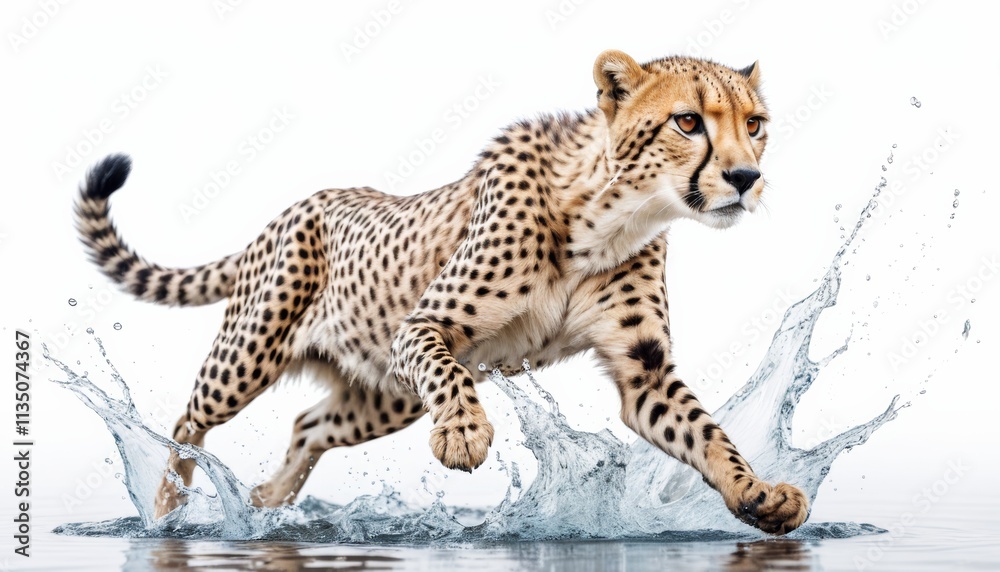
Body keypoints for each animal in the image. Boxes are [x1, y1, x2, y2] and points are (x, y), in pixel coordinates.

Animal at [74, 50, 809, 534]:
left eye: (756, 124)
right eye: (688, 122)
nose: (745, 178)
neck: (611, 213)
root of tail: (294, 207)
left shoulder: (643, 372)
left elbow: (708, 433)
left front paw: (756, 492)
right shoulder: (422, 327)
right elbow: (451, 374)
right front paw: (462, 432)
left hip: (383, 395)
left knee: (308, 423)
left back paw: (265, 504)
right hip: (251, 353)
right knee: (187, 424)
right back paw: (167, 512)